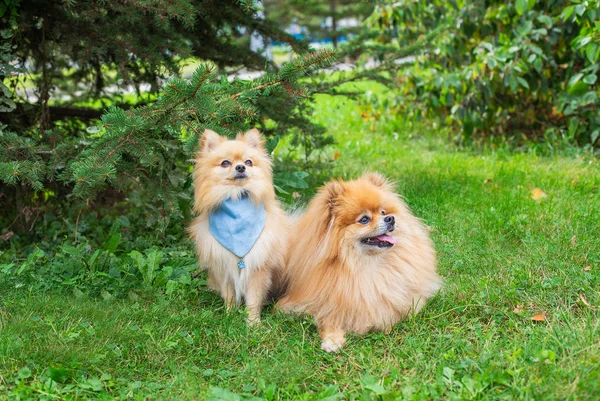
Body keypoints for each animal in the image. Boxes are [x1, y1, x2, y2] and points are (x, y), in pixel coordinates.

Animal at [189, 130, 290, 324]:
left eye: (248, 162)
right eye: (225, 163)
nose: (241, 167)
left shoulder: (258, 269)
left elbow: (253, 299)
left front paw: (253, 323)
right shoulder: (224, 266)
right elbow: (229, 294)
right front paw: (228, 316)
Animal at [276, 172, 440, 350]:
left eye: (383, 212)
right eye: (364, 219)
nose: (390, 219)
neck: (366, 265)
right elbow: (327, 316)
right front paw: (332, 339)